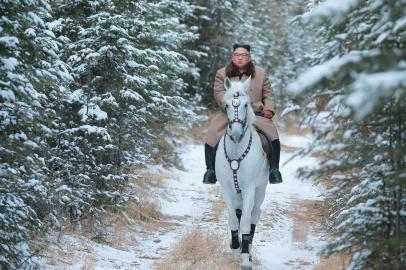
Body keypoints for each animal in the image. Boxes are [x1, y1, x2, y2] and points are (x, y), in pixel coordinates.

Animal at [216, 76, 270, 270]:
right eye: (226, 105)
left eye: (246, 105)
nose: (237, 135)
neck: (236, 152)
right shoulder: (226, 189)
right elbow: (233, 219)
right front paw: (235, 248)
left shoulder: (249, 189)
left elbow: (246, 223)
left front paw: (245, 258)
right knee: (238, 214)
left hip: (260, 189)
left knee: (254, 215)